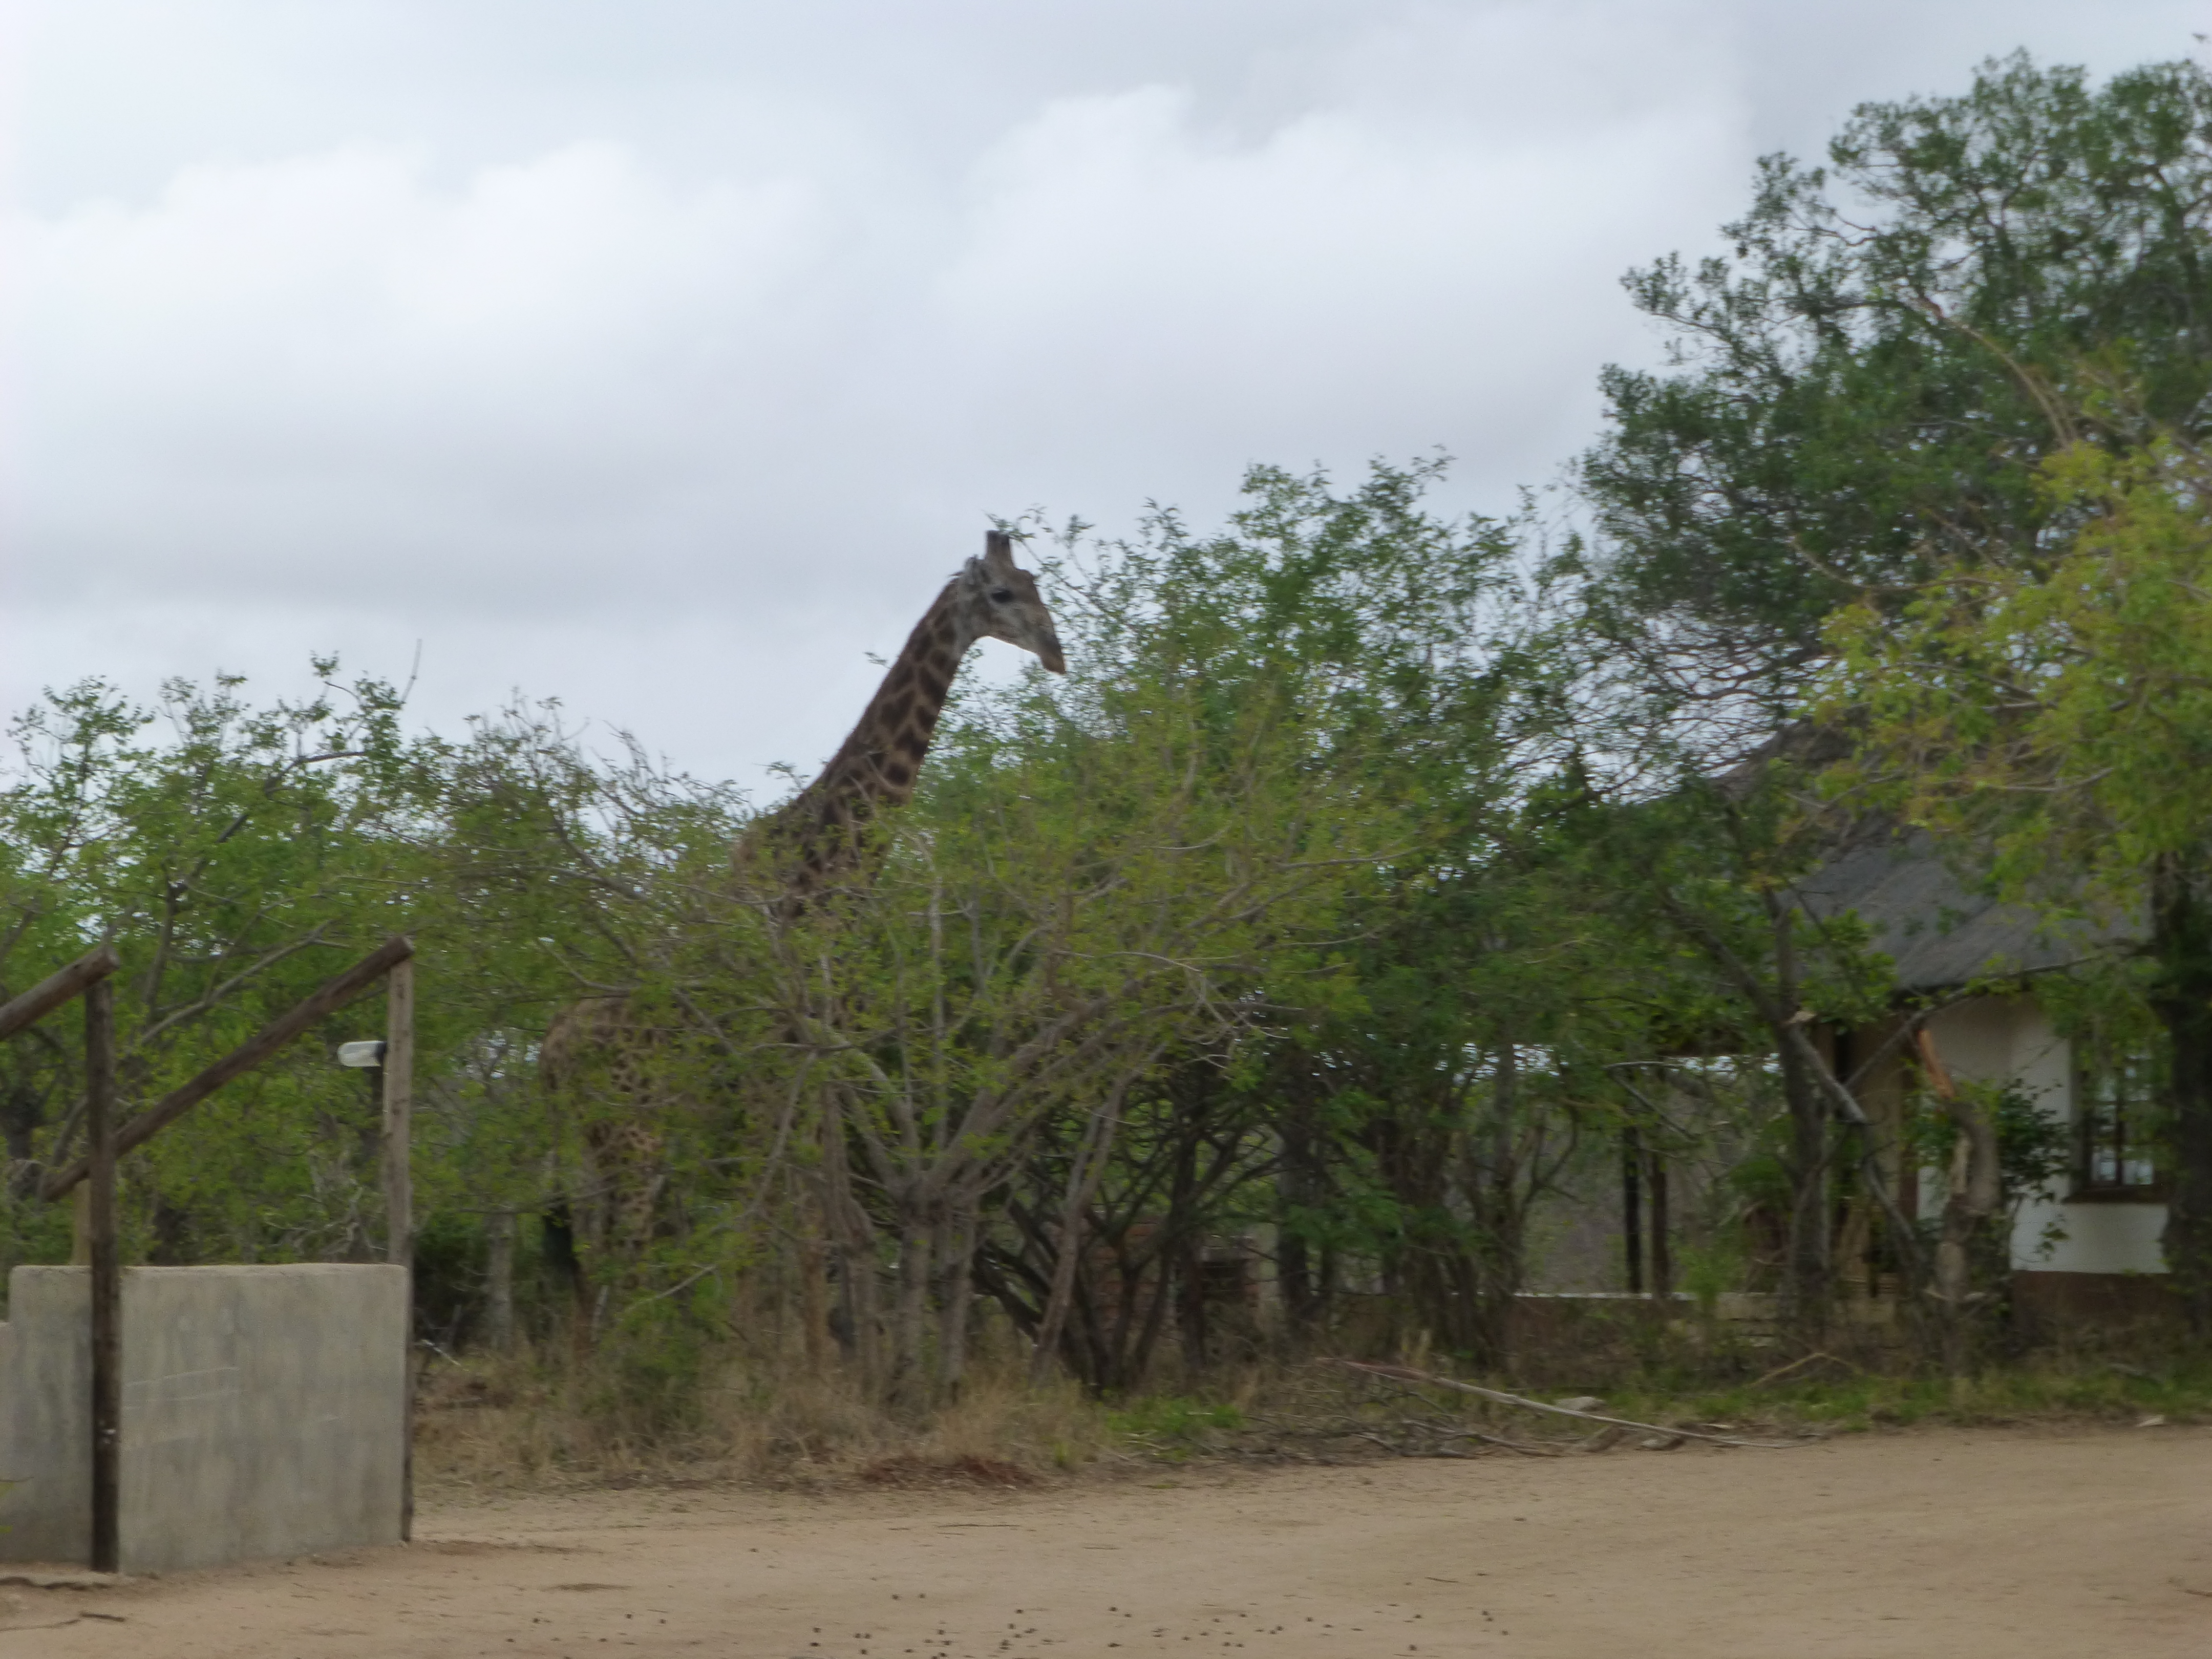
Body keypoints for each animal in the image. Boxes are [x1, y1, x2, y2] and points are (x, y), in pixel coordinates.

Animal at [540, 540, 1066, 1336]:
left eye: (1037, 583)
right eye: (1002, 594)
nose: (1057, 652)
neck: (823, 872)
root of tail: (548, 1054)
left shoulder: (818, 1059)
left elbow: (821, 1224)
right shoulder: (780, 1062)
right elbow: (775, 1225)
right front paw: (771, 1358)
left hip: (592, 1146)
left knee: (589, 1265)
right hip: (634, 1138)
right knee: (618, 1264)